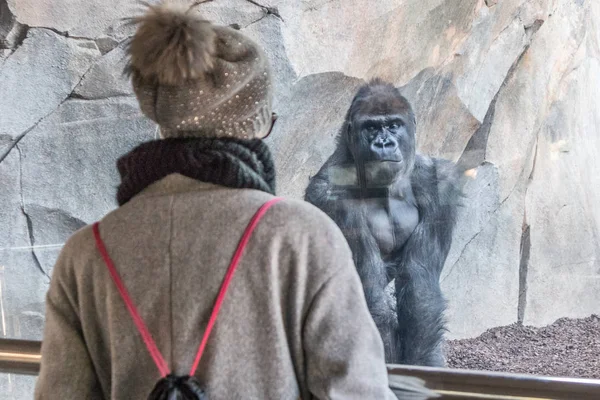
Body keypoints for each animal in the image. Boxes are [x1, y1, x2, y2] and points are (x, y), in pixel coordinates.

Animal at [304, 79, 464, 368]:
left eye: (393, 125)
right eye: (371, 127)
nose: (384, 143)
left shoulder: (440, 182)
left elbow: (419, 282)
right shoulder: (328, 195)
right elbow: (368, 289)